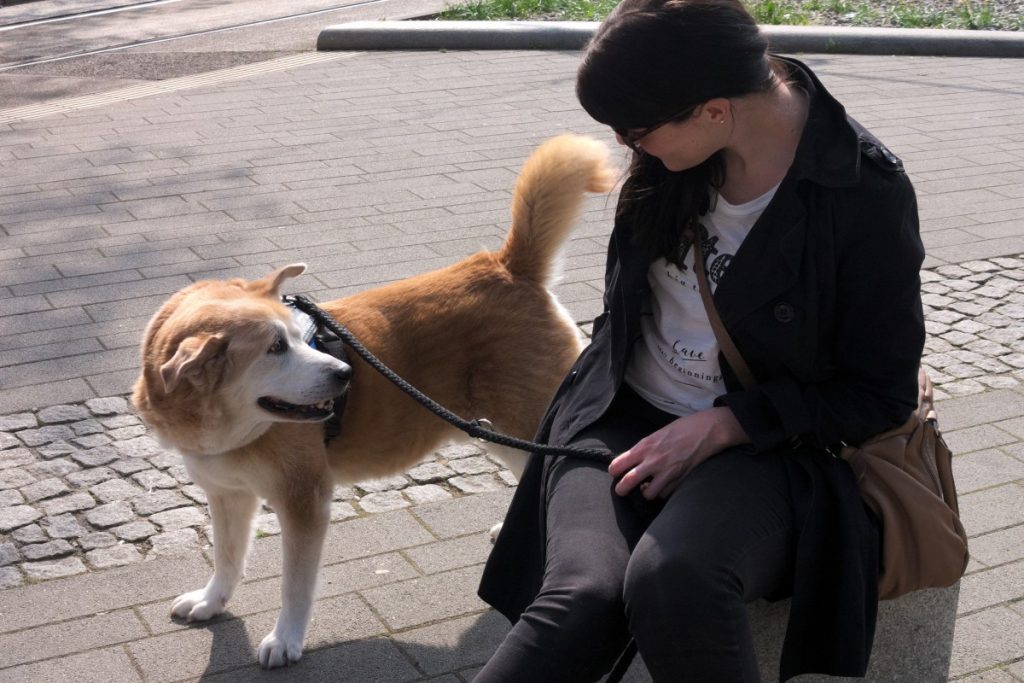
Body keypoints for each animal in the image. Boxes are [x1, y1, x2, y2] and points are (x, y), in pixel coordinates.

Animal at [131, 133, 610, 667]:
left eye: (295, 336)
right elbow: (227, 559)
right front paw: (213, 601)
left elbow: (294, 586)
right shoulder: (227, 495)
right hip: (495, 429)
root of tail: (507, 266)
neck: (228, 430)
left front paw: (286, 638)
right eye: (275, 348)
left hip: (529, 420)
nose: (344, 374)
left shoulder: (304, 501)